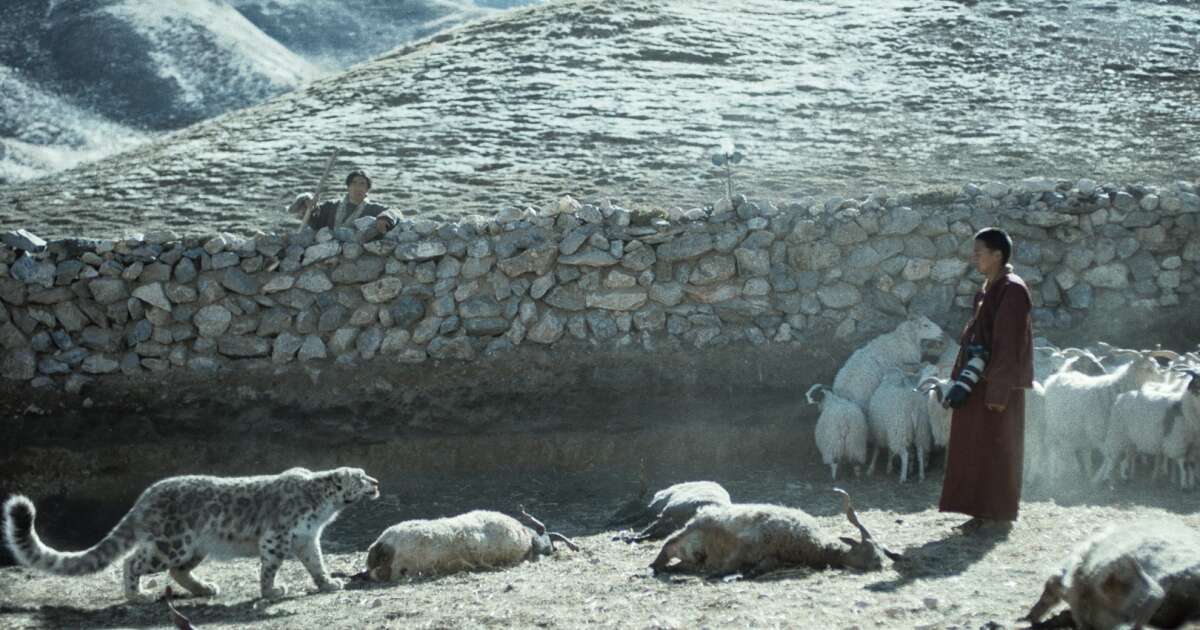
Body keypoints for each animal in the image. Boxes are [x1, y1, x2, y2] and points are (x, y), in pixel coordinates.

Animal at [2, 463, 376, 602]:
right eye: (360, 477)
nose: (376, 482)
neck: (324, 507)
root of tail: (146, 496)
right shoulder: (277, 537)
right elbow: (270, 567)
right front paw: (271, 591)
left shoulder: (307, 539)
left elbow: (316, 563)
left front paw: (328, 583)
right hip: (172, 544)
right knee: (132, 562)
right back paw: (138, 595)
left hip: (194, 548)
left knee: (177, 572)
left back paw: (205, 588)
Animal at [648, 487, 902, 580]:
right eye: (868, 548)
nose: (880, 565)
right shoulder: (746, 545)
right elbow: (729, 566)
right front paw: (725, 575)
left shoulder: (770, 557)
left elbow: (761, 566)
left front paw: (743, 574)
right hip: (685, 535)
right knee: (666, 546)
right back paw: (651, 567)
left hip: (692, 556)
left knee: (680, 564)